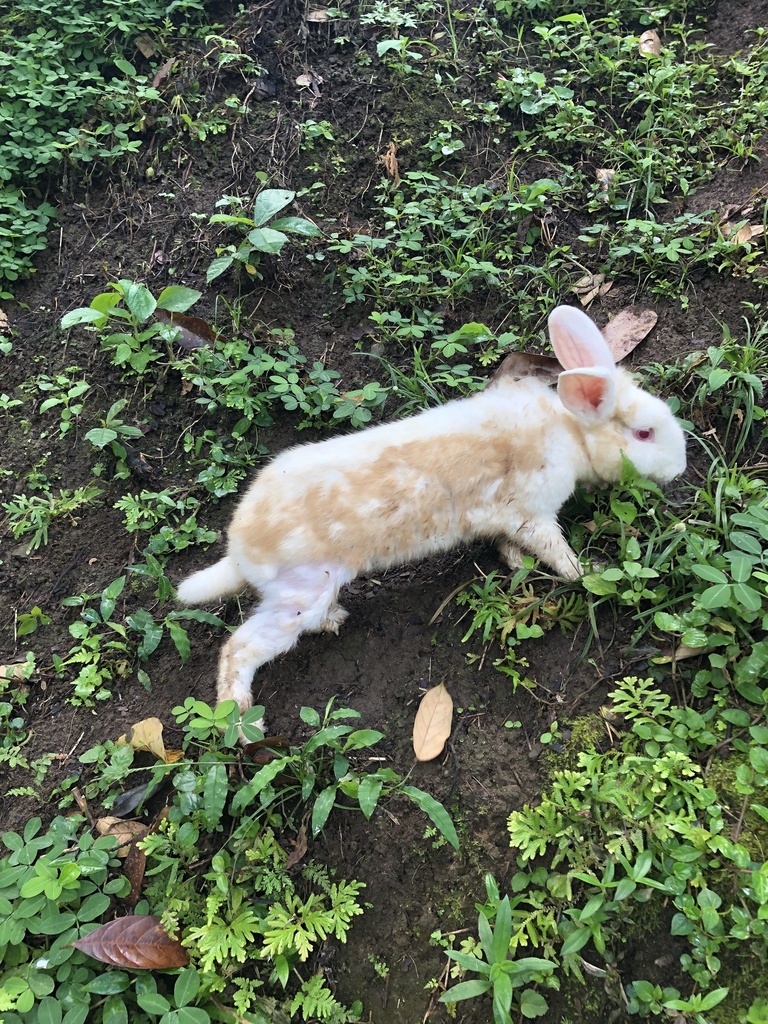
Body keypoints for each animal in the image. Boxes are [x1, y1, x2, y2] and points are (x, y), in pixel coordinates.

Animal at [177, 304, 687, 715]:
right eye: (644, 433)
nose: (681, 467)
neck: (570, 430)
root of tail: (239, 552)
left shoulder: (507, 520)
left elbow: (508, 545)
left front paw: (515, 565)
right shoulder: (532, 515)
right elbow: (555, 551)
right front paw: (584, 573)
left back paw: (335, 621)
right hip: (298, 595)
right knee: (238, 650)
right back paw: (241, 720)